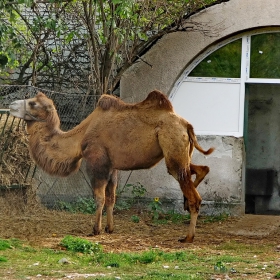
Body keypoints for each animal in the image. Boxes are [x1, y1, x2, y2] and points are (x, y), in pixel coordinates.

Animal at [9, 90, 214, 243]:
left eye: (33, 103)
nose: (11, 105)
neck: (80, 137)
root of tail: (186, 125)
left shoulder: (96, 162)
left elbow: (99, 197)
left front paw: (96, 229)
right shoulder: (111, 166)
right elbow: (111, 198)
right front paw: (110, 228)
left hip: (172, 144)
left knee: (192, 192)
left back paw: (188, 237)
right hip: (180, 152)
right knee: (200, 169)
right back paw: (187, 204)